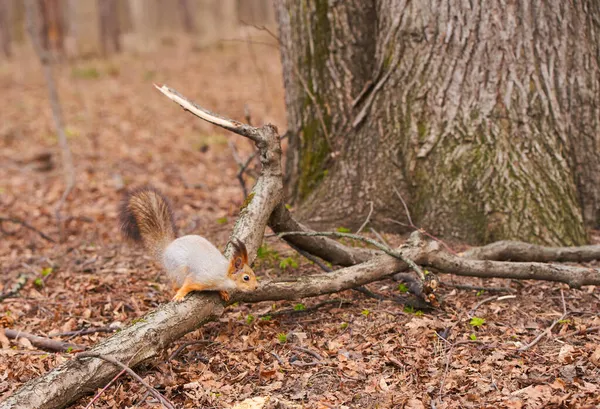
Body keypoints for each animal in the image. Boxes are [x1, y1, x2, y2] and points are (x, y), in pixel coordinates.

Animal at [118, 187, 256, 300]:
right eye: (246, 278)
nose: (256, 287)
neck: (224, 275)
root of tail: (167, 248)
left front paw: (223, 292)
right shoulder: (201, 277)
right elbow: (188, 284)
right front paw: (180, 294)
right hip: (178, 269)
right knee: (175, 284)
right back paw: (177, 289)